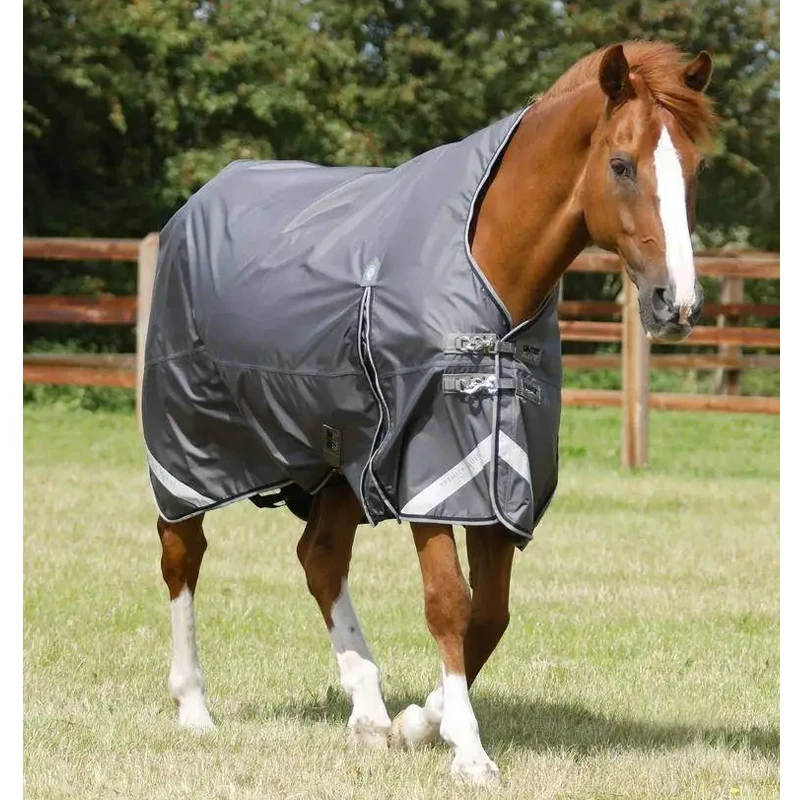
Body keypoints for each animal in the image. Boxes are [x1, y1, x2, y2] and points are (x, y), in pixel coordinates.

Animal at [145, 41, 715, 783]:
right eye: (621, 164)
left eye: (698, 168)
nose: (677, 303)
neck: (489, 276)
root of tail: (196, 206)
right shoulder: (430, 468)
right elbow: (449, 604)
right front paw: (468, 749)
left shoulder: (498, 475)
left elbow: (490, 615)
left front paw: (417, 723)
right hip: (189, 444)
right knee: (182, 554)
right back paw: (194, 708)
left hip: (340, 460)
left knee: (320, 557)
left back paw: (367, 714)